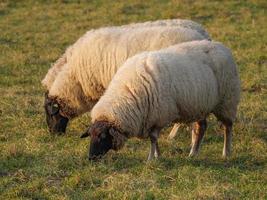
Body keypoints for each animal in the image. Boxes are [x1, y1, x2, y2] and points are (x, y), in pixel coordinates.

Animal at [80, 40, 242, 161]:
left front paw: (152, 158)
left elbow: (153, 138)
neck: (128, 94)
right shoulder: (151, 118)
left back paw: (226, 153)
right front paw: (157, 155)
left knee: (227, 127)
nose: (91, 158)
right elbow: (154, 139)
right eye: (91, 135)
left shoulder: (158, 116)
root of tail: (222, 46)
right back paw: (193, 153)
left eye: (102, 136)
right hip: (199, 104)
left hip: (227, 101)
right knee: (201, 127)